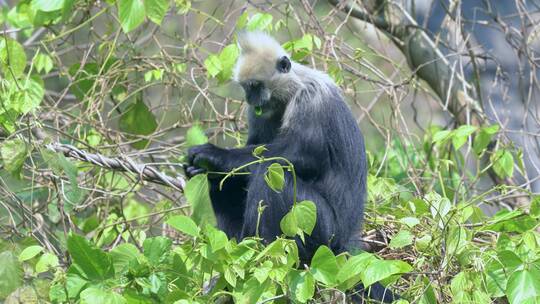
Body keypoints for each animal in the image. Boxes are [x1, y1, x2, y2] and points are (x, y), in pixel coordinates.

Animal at [186, 30, 400, 302]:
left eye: (256, 86)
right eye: (246, 88)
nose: (250, 99)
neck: (291, 90)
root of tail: (346, 241)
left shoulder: (311, 98)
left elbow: (303, 156)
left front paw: (215, 155)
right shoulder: (259, 113)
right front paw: (198, 168)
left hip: (323, 230)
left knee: (270, 172)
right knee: (227, 179)